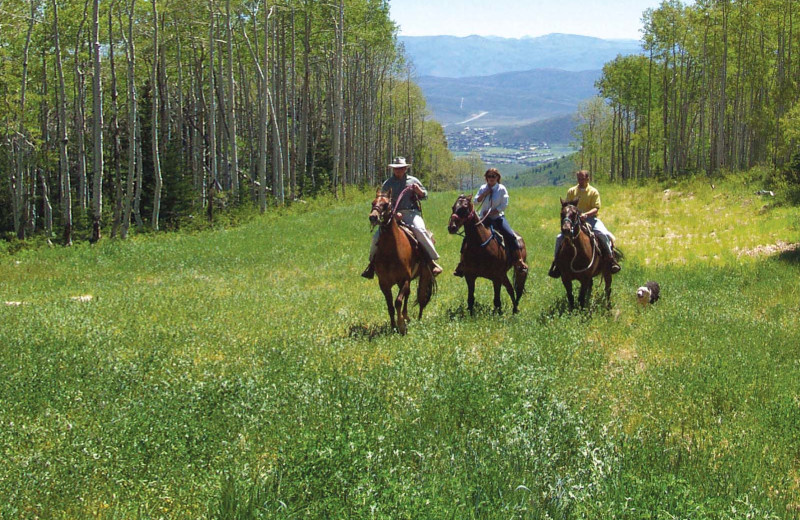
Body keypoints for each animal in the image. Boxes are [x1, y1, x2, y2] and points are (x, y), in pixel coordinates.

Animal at [366, 187, 434, 334]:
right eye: (373, 202)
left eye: (386, 204)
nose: (373, 217)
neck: (391, 252)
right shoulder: (384, 283)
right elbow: (390, 305)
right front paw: (393, 326)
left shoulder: (404, 279)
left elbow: (398, 301)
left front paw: (401, 325)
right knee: (408, 296)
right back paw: (406, 316)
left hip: (424, 275)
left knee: (421, 297)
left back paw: (418, 318)